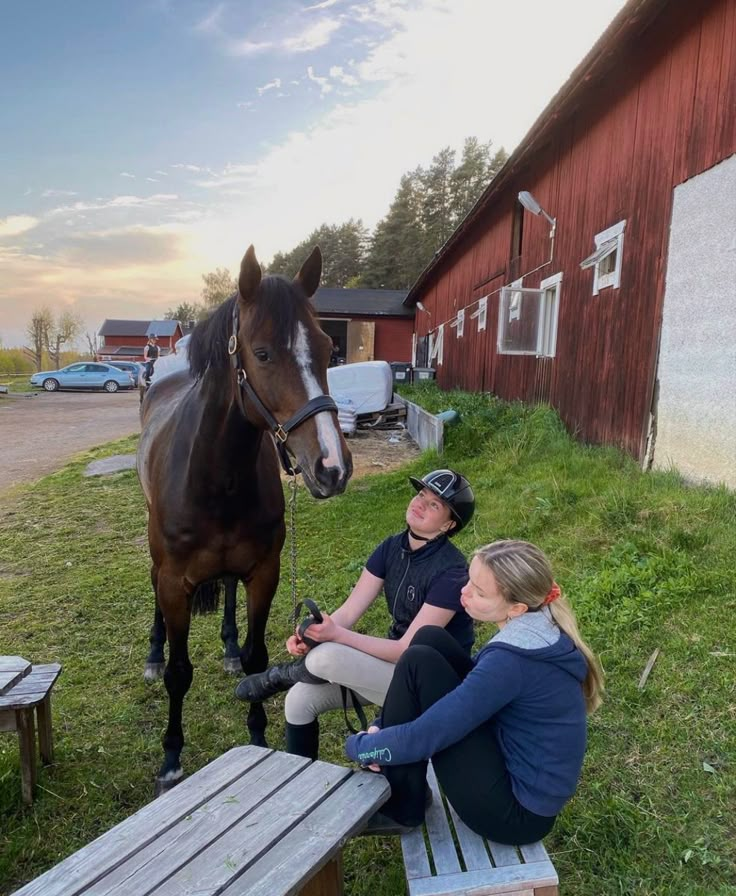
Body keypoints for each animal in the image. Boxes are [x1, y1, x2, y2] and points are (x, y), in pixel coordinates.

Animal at [136, 243, 354, 792]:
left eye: (328, 348)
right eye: (262, 353)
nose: (332, 467)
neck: (216, 477)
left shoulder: (264, 572)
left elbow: (259, 658)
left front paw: (256, 736)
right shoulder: (174, 583)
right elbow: (178, 673)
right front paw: (171, 759)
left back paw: (230, 648)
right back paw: (151, 654)